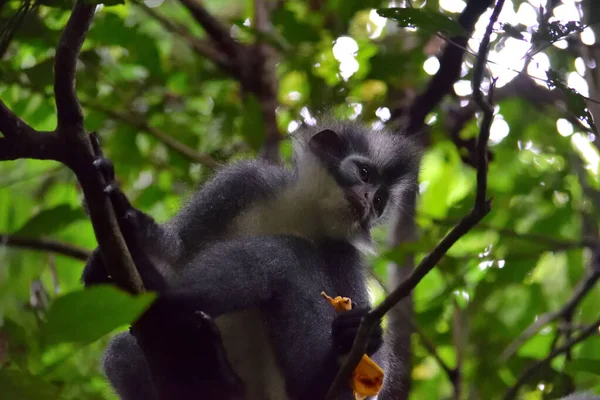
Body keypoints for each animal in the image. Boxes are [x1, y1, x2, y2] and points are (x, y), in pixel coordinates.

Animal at [82, 119, 422, 400]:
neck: (301, 214)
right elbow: (177, 250)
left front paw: (357, 337)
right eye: (364, 174)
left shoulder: (343, 253)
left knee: (286, 255)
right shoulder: (243, 182)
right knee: (121, 355)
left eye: (380, 201)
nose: (368, 203)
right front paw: (130, 223)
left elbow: (372, 371)